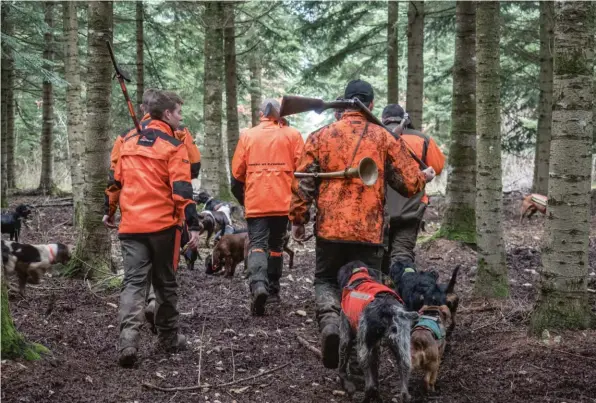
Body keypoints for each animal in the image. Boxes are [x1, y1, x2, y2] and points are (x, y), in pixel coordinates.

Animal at [340, 260, 420, 402]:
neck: (360, 277)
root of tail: (389, 309)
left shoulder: (346, 335)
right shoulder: (376, 346)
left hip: (363, 350)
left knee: (369, 385)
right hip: (402, 348)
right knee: (404, 382)